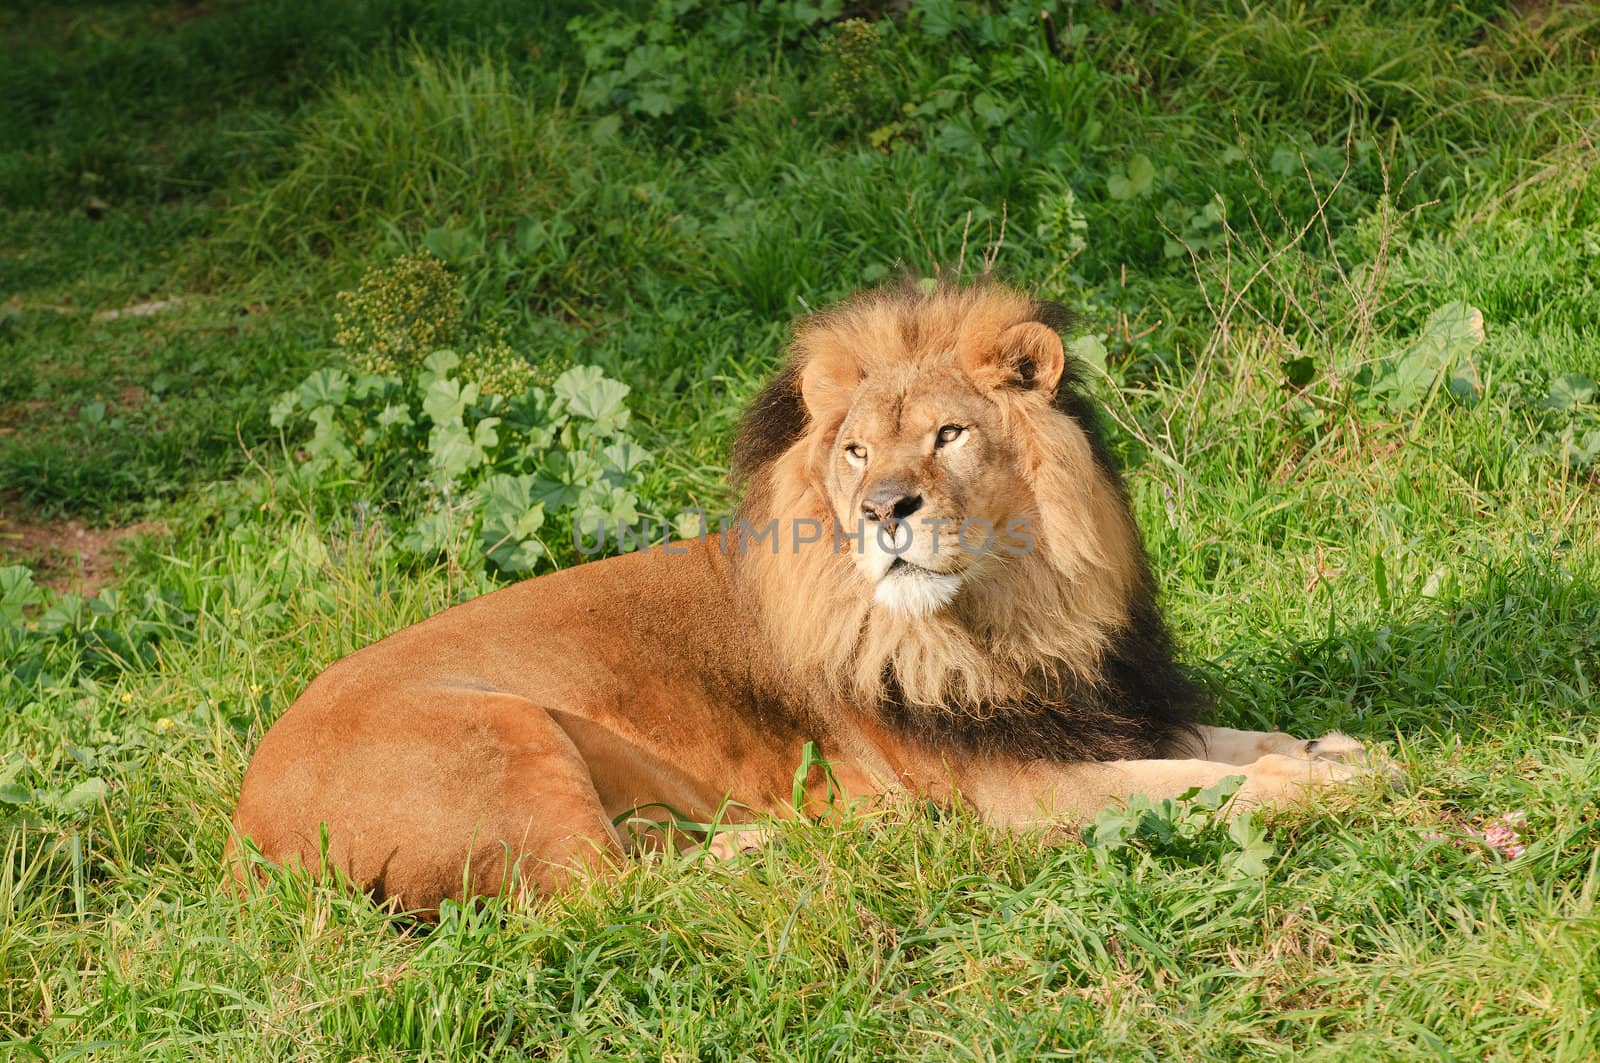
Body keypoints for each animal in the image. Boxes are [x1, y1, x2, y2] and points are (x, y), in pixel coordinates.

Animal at [228, 281, 1376, 915]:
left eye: (949, 434)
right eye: (857, 449)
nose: (884, 509)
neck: (1015, 611)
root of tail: (245, 826)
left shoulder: (1093, 710)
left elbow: (1232, 742)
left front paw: (1336, 751)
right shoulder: (1018, 792)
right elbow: (1195, 785)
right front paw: (1326, 789)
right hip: (507, 733)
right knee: (603, 897)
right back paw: (794, 845)